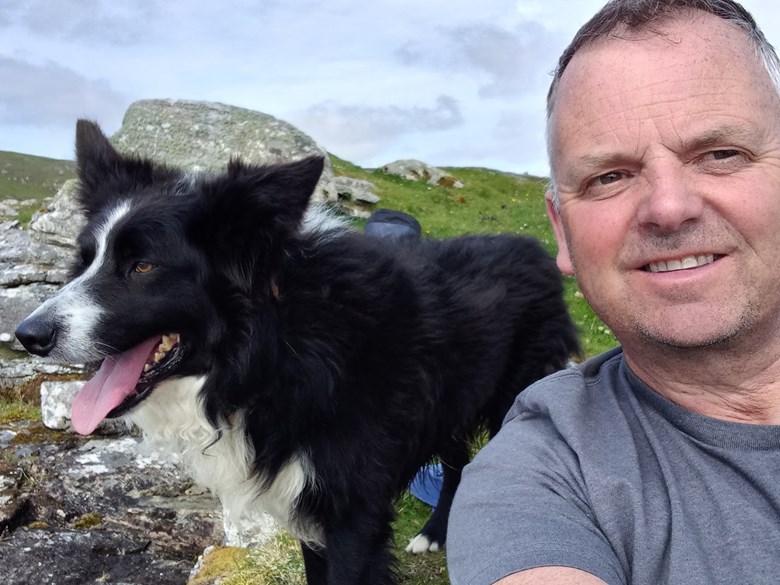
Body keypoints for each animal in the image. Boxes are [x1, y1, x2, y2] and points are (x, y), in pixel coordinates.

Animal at [15, 120, 580, 584]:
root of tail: (537, 251)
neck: (279, 349)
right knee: (459, 459)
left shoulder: (352, 513)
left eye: (143, 266)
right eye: (85, 259)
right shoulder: (303, 502)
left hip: (512, 396)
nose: (28, 335)